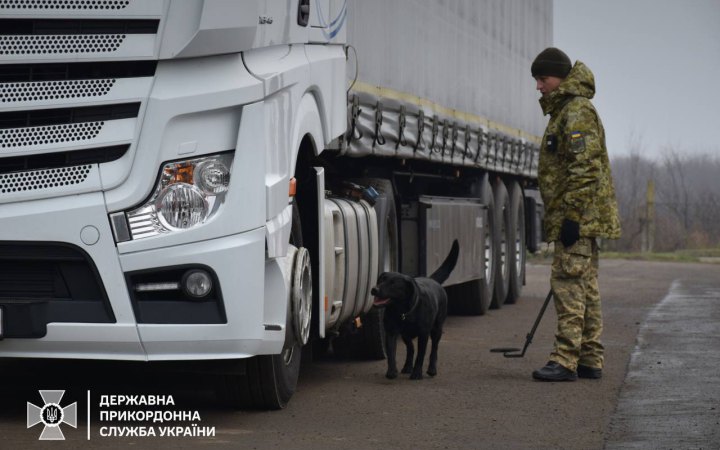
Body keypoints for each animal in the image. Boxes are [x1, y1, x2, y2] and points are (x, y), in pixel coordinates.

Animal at [374, 239, 458, 380]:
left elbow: (421, 355)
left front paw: (417, 373)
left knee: (434, 349)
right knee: (411, 348)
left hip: (437, 329)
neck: (403, 312)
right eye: (380, 280)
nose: (374, 289)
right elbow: (391, 354)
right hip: (405, 334)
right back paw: (407, 367)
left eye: (393, 284)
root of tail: (432, 279)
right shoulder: (391, 332)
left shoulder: (423, 334)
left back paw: (431, 369)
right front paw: (392, 371)